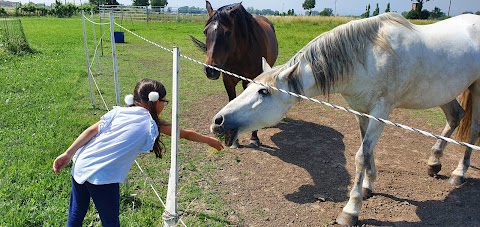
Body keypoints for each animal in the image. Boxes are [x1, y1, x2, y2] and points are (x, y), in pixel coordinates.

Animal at [190, 0, 278, 148]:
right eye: (205, 31)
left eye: (227, 33)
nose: (210, 70)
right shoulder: (228, 80)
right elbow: (232, 100)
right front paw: (234, 140)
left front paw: (254, 137)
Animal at [212, 12, 480, 225]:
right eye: (248, 87)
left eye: (263, 92)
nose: (219, 121)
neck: (370, 57)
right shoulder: (362, 110)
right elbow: (367, 151)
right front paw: (368, 187)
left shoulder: (381, 111)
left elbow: (361, 155)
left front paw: (351, 210)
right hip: (444, 92)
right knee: (456, 117)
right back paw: (434, 163)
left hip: (476, 90)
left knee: (473, 129)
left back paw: (459, 173)